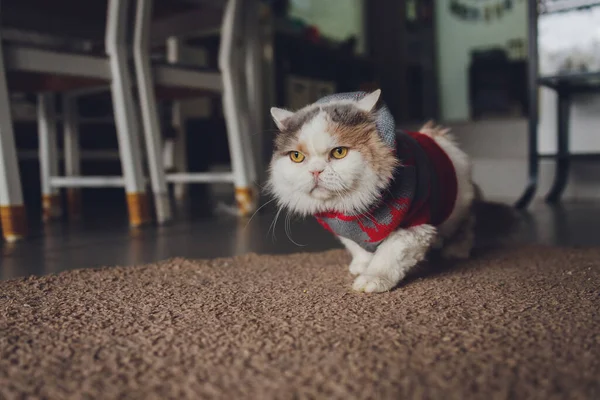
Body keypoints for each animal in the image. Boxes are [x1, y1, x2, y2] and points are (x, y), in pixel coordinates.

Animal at [266, 90, 474, 294]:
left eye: (339, 152)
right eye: (297, 156)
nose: (315, 171)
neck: (350, 208)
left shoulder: (415, 228)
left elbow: (388, 256)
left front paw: (371, 280)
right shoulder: (346, 231)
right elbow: (358, 248)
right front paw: (361, 265)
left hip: (459, 205)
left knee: (466, 226)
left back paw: (456, 250)